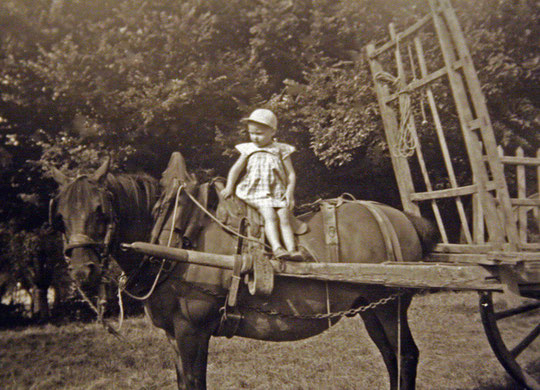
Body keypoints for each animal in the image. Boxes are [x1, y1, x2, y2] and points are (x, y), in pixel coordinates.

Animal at [56, 152, 434, 390]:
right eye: (59, 214)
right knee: (391, 357)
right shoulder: (174, 334)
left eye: (101, 209)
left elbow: (195, 382)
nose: (82, 270)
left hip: (390, 305)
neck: (176, 236)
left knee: (406, 355)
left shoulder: (192, 330)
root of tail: (401, 218)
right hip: (370, 308)